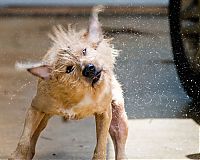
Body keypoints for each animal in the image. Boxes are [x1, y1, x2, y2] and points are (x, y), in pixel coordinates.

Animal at [9, 5, 128, 159]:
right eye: (69, 69)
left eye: (84, 51)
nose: (89, 68)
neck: (81, 92)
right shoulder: (35, 108)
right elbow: (25, 138)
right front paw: (18, 155)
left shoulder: (104, 113)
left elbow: (101, 145)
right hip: (44, 116)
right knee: (35, 133)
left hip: (119, 118)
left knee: (119, 138)